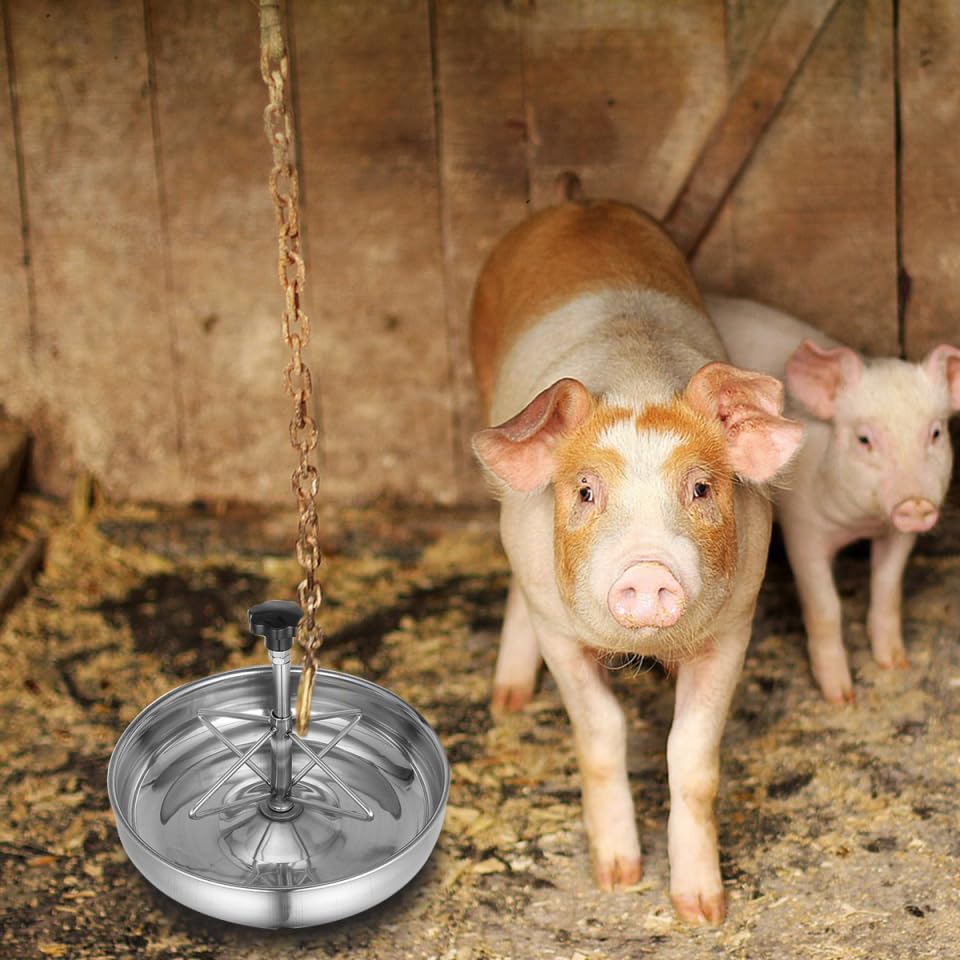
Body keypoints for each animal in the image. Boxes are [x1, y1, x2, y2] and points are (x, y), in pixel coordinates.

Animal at [470, 188, 802, 924]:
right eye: (586, 490)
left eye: (701, 487)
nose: (647, 570)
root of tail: (577, 201)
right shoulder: (559, 631)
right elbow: (601, 735)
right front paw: (617, 880)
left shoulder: (736, 625)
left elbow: (693, 759)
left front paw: (702, 911)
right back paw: (507, 700)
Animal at [708, 294, 960, 704]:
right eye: (864, 439)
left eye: (935, 433)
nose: (915, 503)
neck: (860, 523)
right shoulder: (802, 529)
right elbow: (825, 605)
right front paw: (841, 697)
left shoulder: (898, 534)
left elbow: (888, 588)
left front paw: (895, 663)